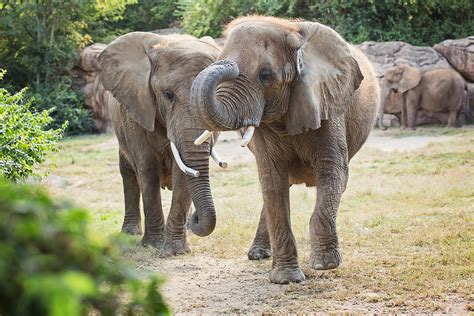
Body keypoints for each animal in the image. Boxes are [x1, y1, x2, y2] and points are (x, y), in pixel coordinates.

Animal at [98, 31, 226, 254]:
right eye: (168, 95)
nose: (197, 220)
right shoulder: (136, 109)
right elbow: (147, 169)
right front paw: (153, 245)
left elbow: (183, 172)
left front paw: (176, 251)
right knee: (128, 173)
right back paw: (130, 233)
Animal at [189, 16, 378, 284]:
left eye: (265, 75)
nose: (192, 218)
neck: (288, 31)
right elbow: (272, 180)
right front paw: (286, 279)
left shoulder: (326, 101)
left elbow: (332, 171)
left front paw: (325, 264)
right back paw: (258, 255)